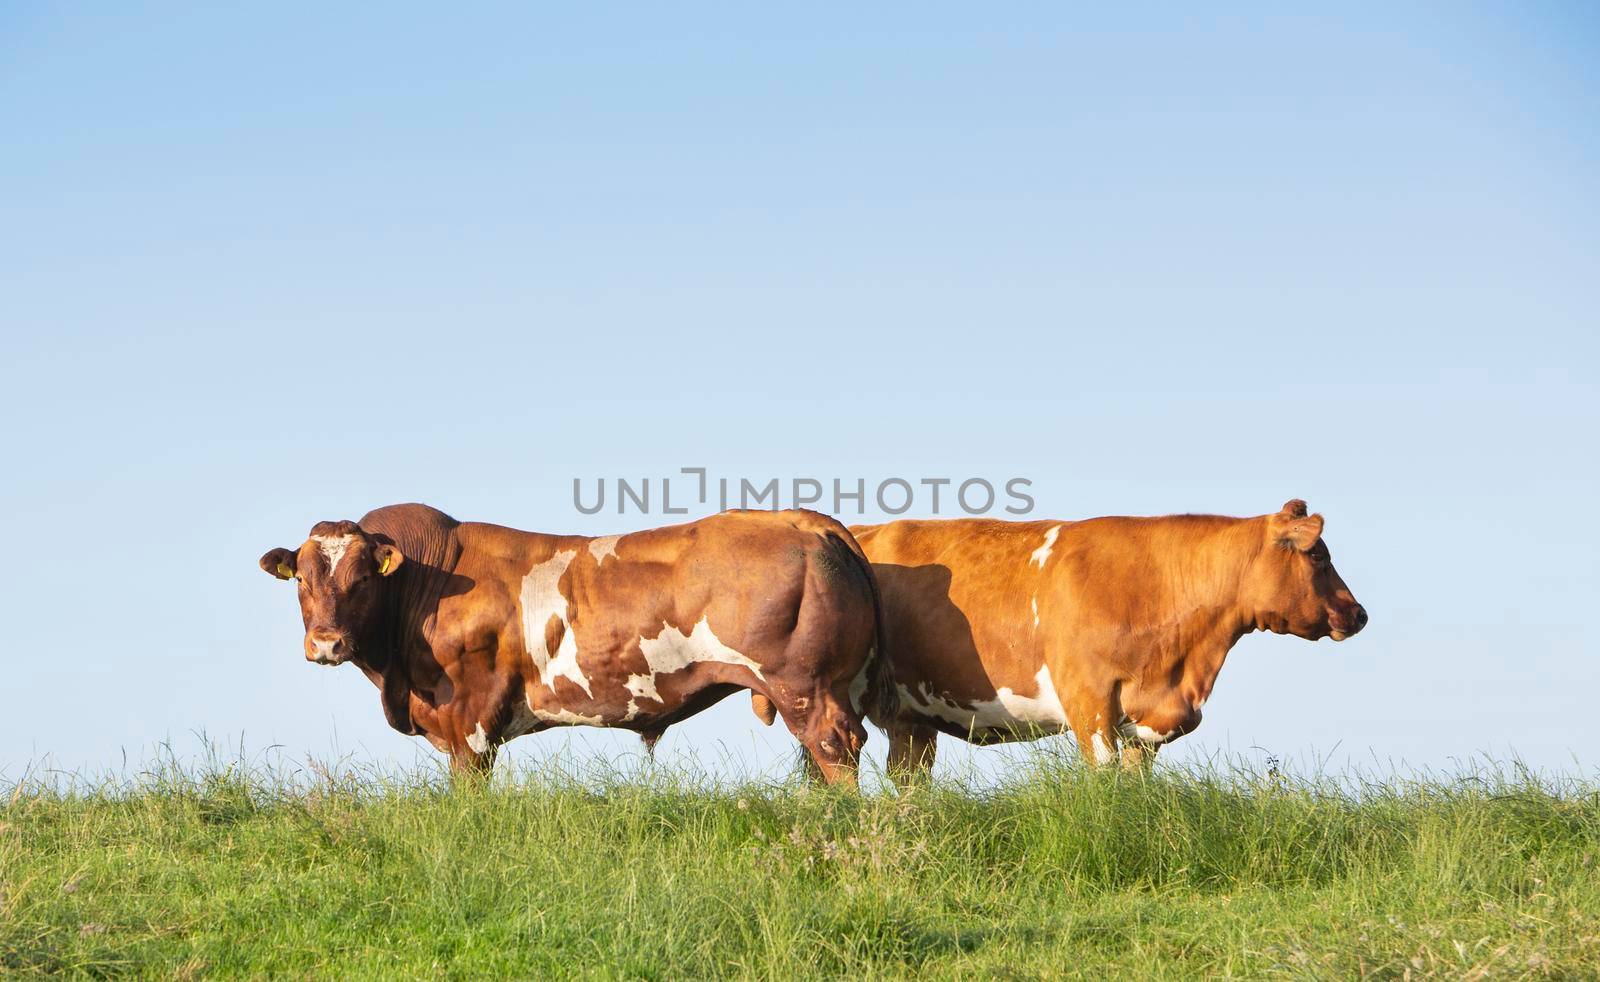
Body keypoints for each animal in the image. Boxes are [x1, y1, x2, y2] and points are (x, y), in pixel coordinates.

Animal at [256, 505, 896, 790]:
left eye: (363, 579)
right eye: (302, 580)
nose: (326, 643)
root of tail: (804, 520)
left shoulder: (470, 719)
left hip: (808, 688)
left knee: (835, 751)